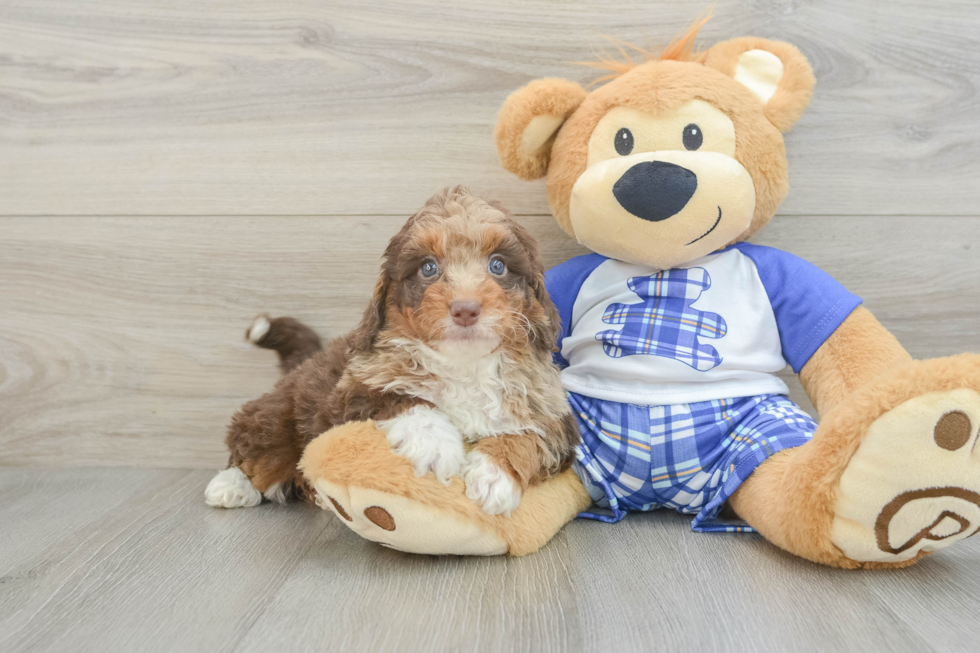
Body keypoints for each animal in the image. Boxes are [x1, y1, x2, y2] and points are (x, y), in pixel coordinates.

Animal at [203, 187, 580, 516]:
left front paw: (494, 476)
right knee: (252, 447)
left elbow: (531, 437)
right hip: (277, 415)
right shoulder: (353, 391)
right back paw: (230, 485)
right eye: (428, 268)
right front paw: (435, 445)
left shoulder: (551, 411)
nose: (466, 309)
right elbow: (404, 398)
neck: (463, 363)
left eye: (498, 265)